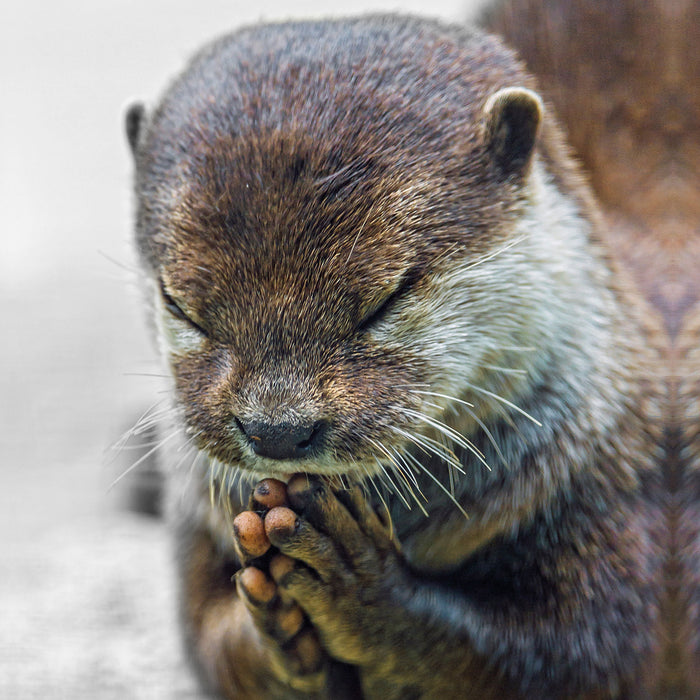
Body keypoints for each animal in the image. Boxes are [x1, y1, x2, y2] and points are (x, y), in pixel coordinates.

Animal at [126, 10, 672, 700]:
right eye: (181, 306)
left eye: (386, 299)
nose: (277, 430)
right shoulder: (194, 525)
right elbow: (209, 641)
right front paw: (274, 623)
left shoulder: (613, 492)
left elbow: (583, 655)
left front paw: (359, 585)